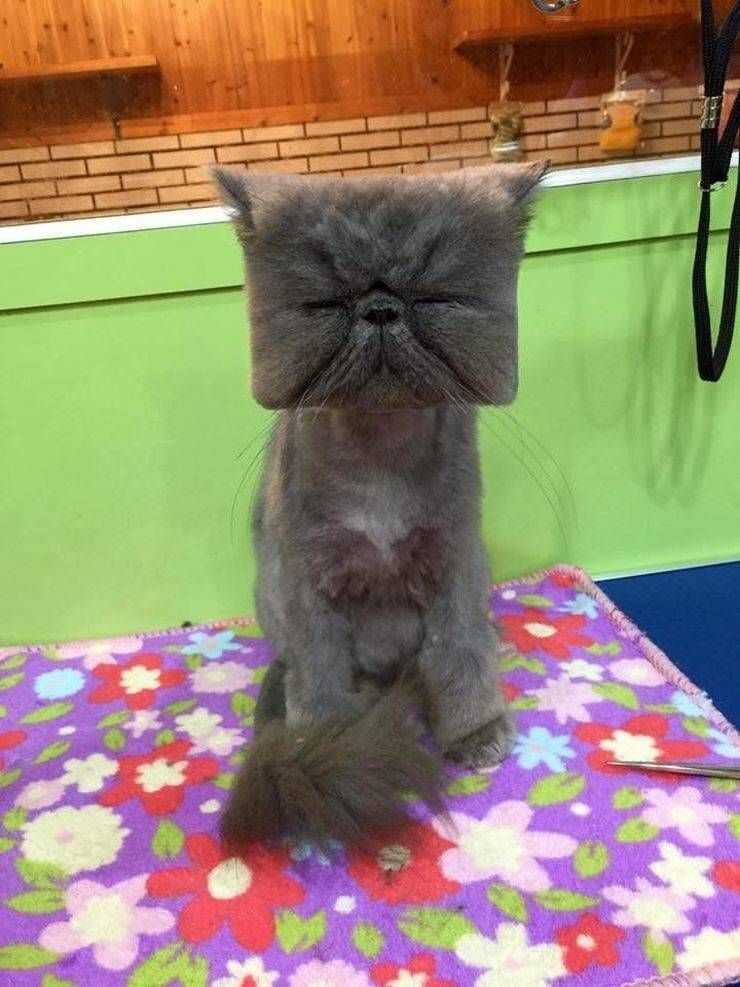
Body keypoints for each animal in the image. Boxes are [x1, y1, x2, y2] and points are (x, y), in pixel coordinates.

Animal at [212, 161, 548, 847]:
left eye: (437, 296)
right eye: (323, 302)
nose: (380, 307)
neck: (380, 457)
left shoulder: (454, 561)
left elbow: (461, 651)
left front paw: (474, 730)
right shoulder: (307, 580)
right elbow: (318, 674)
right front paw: (329, 748)